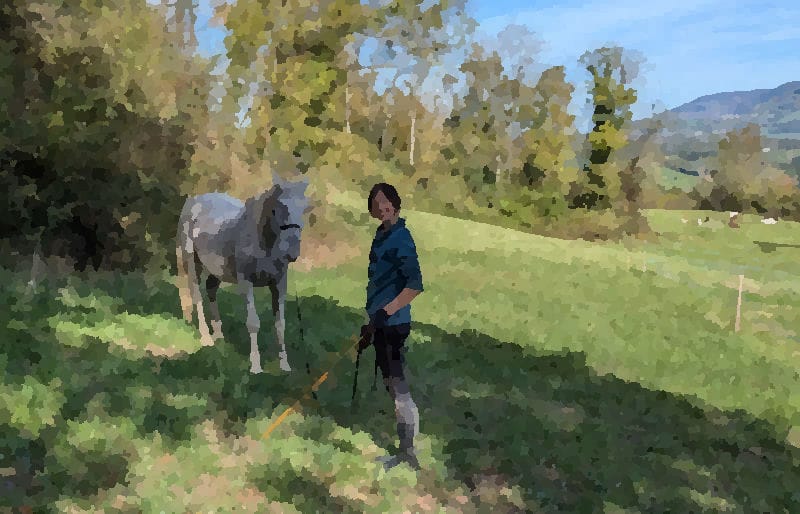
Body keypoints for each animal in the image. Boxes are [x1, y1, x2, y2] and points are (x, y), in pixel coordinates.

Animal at [177, 172, 308, 372]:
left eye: (304, 208)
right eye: (276, 209)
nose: (292, 252)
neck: (263, 242)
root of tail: (193, 201)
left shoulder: (279, 284)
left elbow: (280, 324)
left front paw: (284, 365)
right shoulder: (247, 283)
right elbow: (253, 323)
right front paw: (255, 366)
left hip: (216, 270)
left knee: (211, 289)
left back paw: (219, 336)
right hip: (192, 263)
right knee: (196, 295)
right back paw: (206, 338)